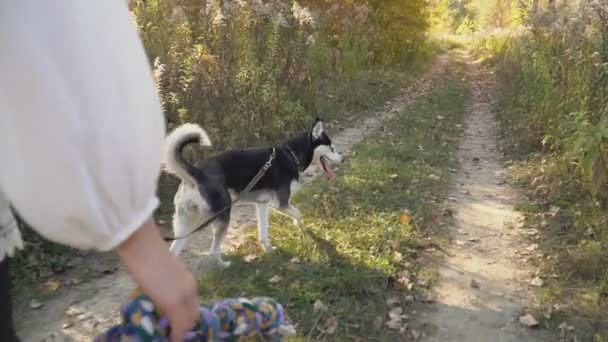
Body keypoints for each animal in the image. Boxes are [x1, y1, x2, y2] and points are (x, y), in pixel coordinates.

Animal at [164, 119, 342, 266]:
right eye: (331, 147)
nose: (343, 158)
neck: (291, 155)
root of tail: (197, 172)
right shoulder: (281, 204)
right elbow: (298, 213)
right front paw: (301, 226)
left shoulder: (262, 204)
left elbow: (263, 232)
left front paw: (268, 250)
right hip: (223, 217)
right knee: (213, 251)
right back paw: (225, 265)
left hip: (186, 224)